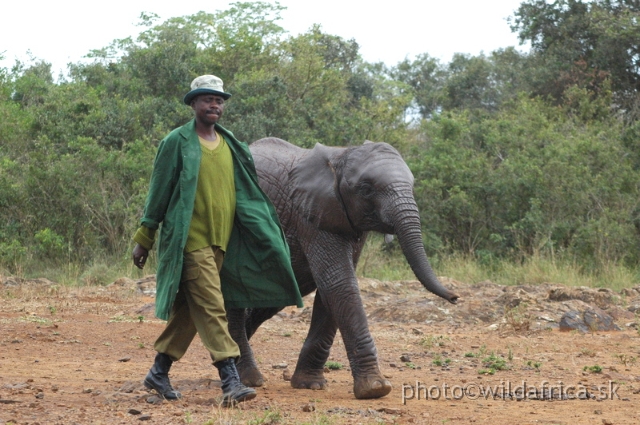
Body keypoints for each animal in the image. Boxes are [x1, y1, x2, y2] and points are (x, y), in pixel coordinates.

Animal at [228, 137, 458, 398]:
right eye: (366, 189)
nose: (454, 298)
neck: (341, 155)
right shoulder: (310, 215)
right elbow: (339, 282)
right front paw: (375, 389)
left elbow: (330, 291)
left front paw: (310, 385)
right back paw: (250, 379)